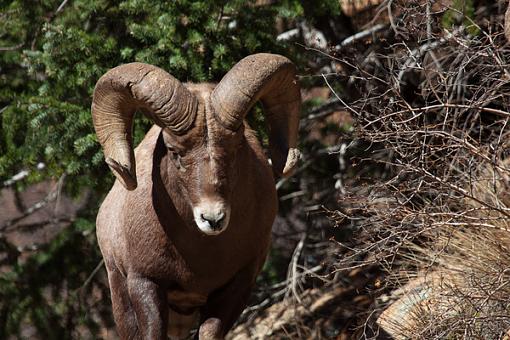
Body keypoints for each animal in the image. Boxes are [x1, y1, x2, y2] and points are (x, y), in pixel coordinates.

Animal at [91, 52, 300, 338]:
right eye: (174, 151)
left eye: (237, 146)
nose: (213, 219)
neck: (199, 254)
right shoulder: (144, 283)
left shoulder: (237, 286)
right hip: (120, 294)